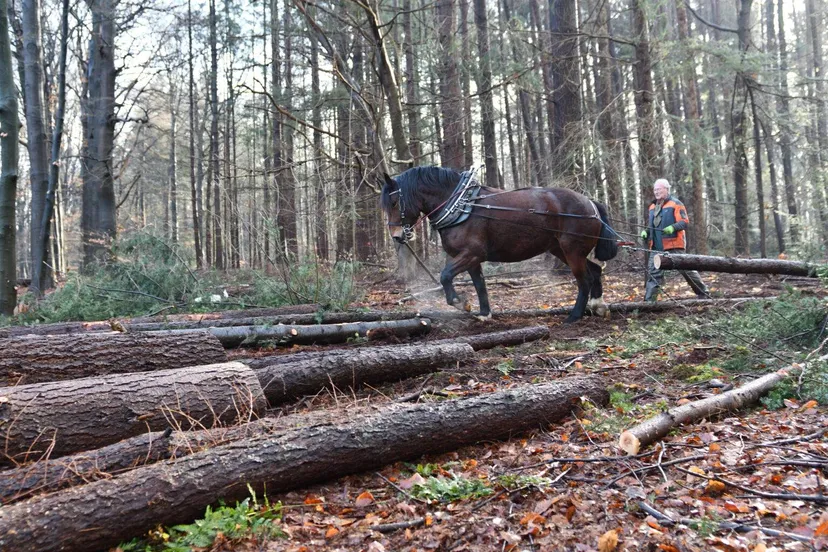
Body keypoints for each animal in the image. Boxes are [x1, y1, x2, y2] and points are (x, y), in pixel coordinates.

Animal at [380, 166, 619, 323]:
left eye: (394, 202)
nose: (396, 236)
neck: (460, 205)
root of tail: (590, 204)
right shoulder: (469, 258)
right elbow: (479, 284)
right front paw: (484, 314)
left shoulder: (472, 253)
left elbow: (445, 276)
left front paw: (459, 302)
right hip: (561, 250)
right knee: (595, 271)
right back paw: (598, 306)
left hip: (572, 251)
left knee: (584, 280)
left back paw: (574, 315)